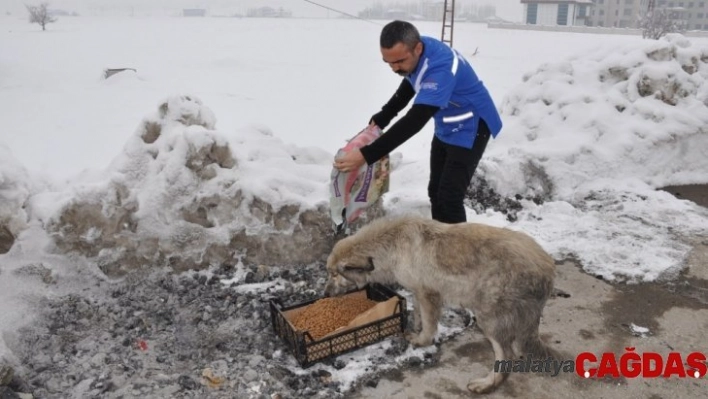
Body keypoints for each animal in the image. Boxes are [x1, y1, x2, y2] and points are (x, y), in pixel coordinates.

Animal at [322, 216, 560, 394]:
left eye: (334, 275)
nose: (324, 294)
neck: (390, 245)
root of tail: (547, 268)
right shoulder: (418, 292)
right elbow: (418, 314)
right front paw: (415, 330)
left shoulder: (428, 294)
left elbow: (429, 324)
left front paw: (422, 341)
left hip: (487, 318)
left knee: (506, 355)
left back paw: (487, 385)